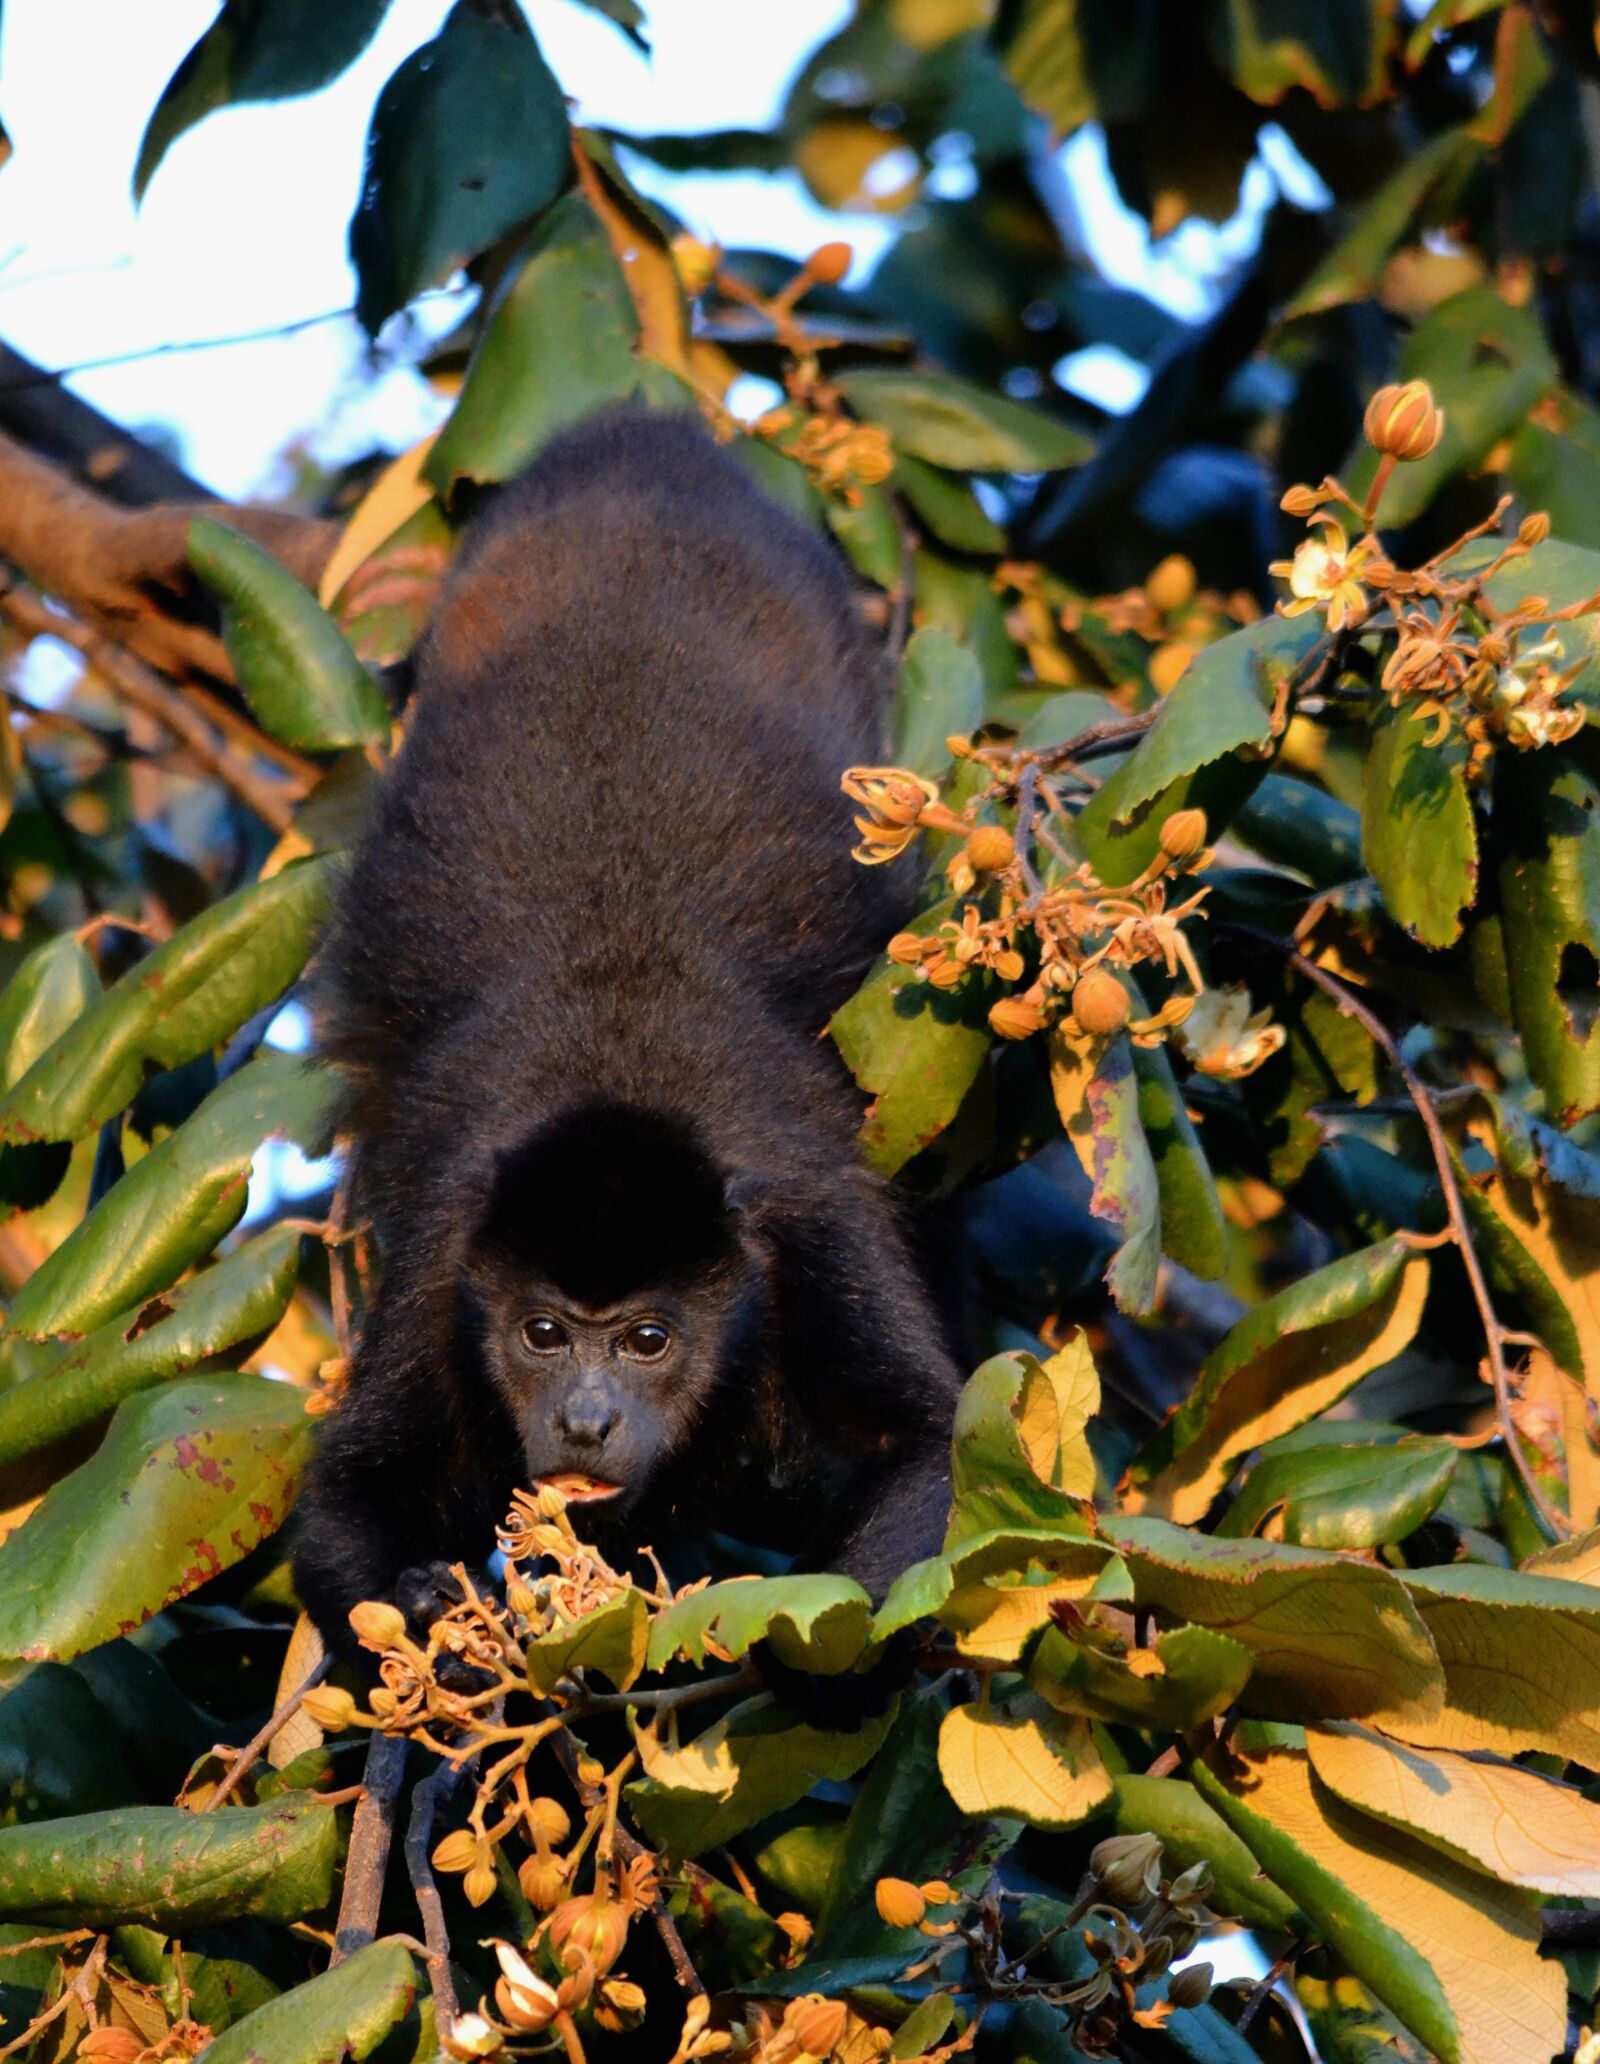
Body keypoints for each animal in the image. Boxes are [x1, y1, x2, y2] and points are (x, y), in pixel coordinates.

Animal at [291, 406, 965, 1660]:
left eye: (649, 1340)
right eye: (543, 1335)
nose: (587, 1419)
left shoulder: (806, 1217)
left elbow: (932, 1445)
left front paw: (813, 1649)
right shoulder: (449, 1240)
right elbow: (352, 1493)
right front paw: (433, 1622)